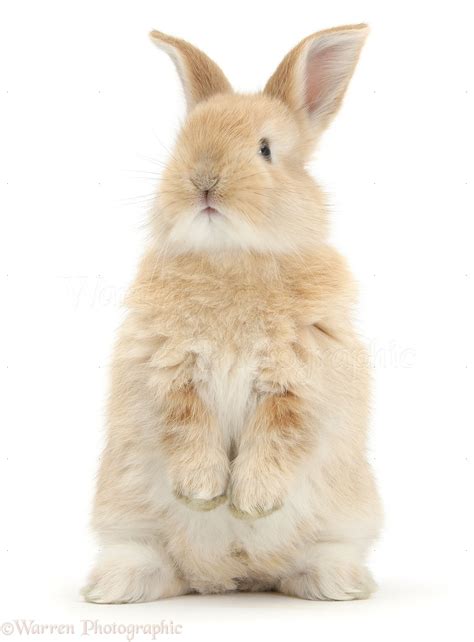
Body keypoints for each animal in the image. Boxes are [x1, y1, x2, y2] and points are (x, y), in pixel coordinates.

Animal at [82, 23, 382, 604]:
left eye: (265, 149)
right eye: (184, 142)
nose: (203, 180)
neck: (232, 257)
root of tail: (234, 576)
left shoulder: (300, 378)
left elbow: (278, 435)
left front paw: (251, 503)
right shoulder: (168, 370)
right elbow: (187, 427)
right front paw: (204, 493)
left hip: (346, 514)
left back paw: (340, 583)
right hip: (124, 513)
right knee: (149, 558)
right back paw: (112, 587)